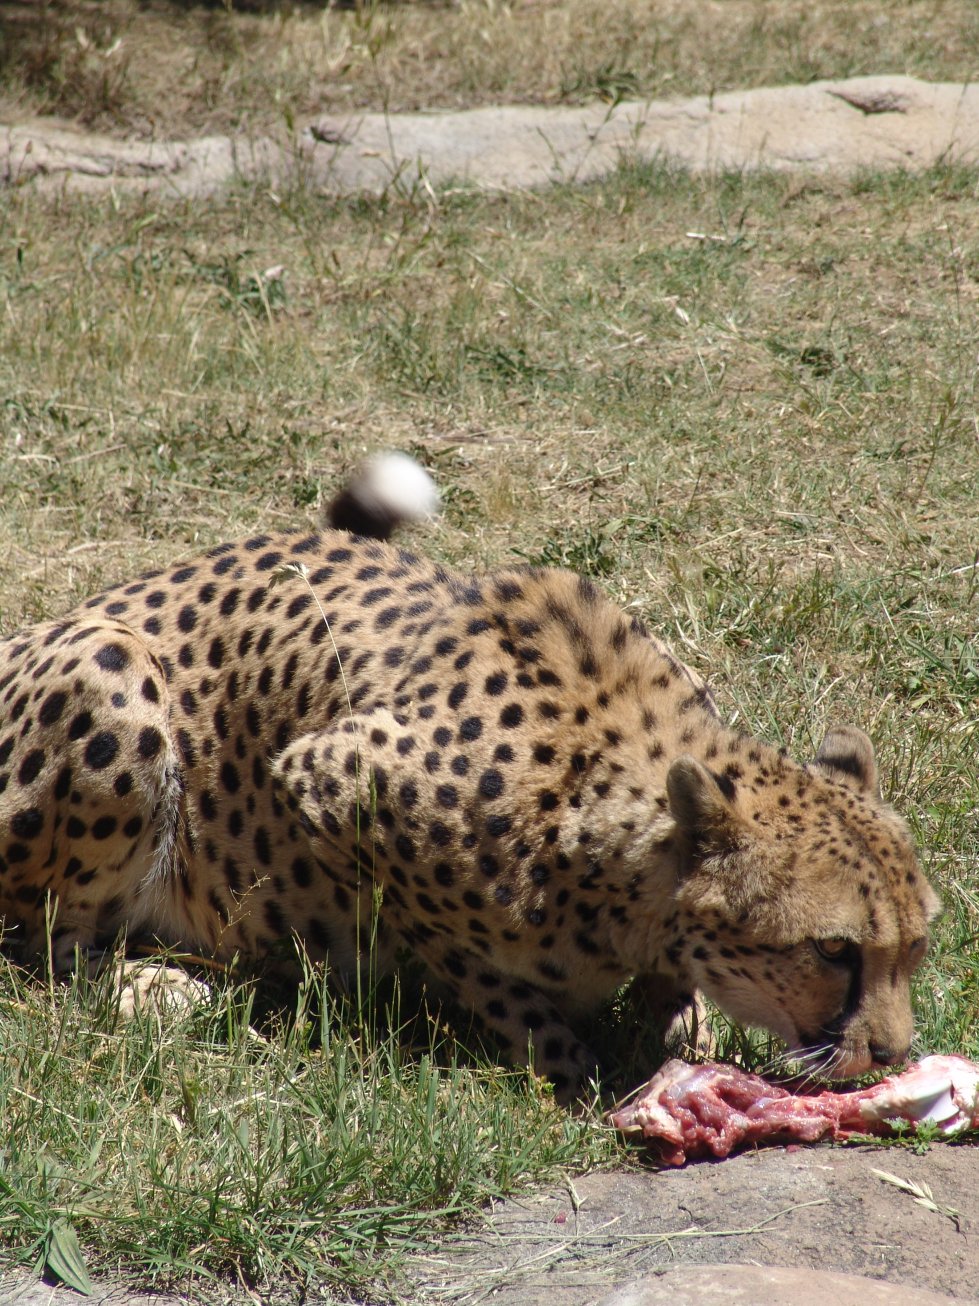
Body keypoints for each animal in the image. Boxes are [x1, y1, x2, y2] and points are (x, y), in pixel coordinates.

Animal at [0, 453, 939, 1098]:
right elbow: (474, 963)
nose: (893, 1053)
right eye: (832, 949)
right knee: (37, 943)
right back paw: (148, 986)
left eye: (917, 945)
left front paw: (682, 1028)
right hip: (111, 667)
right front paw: (569, 1067)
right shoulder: (332, 785)